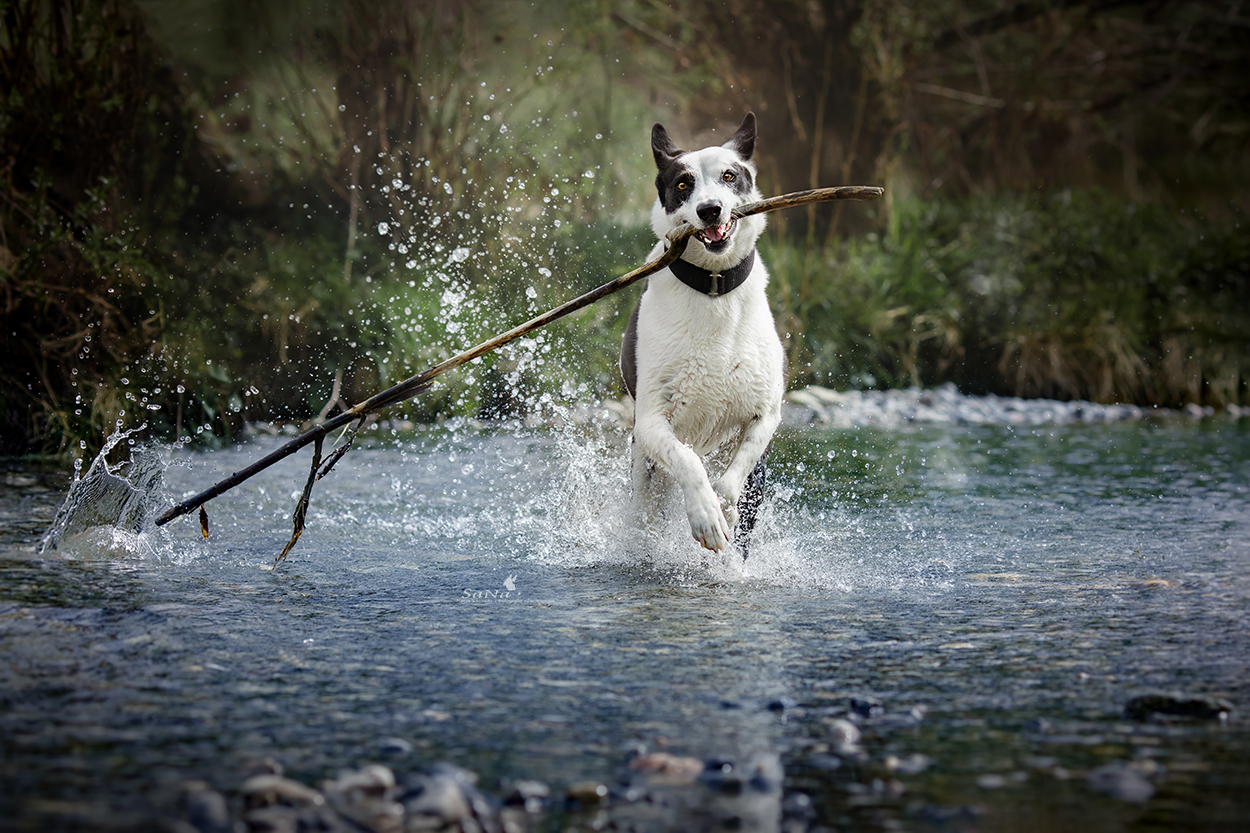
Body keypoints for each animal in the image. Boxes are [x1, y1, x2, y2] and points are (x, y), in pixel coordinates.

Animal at [622, 110, 785, 550]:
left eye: (729, 176)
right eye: (683, 184)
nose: (710, 210)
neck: (714, 288)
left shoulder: (766, 414)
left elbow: (730, 483)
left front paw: (722, 509)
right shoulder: (651, 421)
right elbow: (687, 460)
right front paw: (706, 516)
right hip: (642, 477)